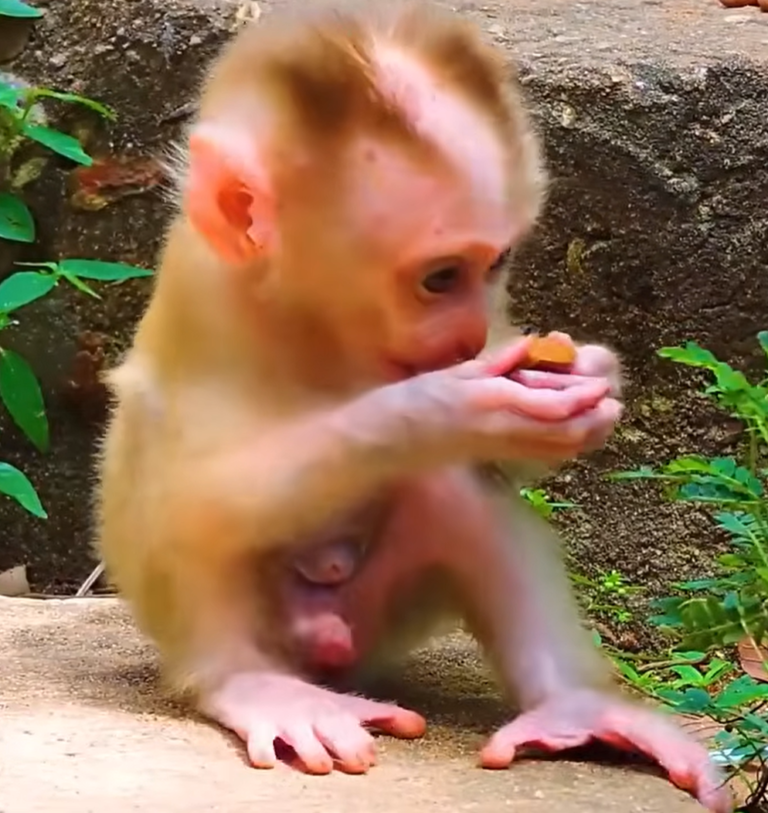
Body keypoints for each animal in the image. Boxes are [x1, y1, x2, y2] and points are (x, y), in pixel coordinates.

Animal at [94, 5, 732, 812]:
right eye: (439, 278)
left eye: (495, 264)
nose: (464, 338)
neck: (315, 319)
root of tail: (328, 647)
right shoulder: (207, 307)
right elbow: (200, 491)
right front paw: (440, 408)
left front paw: (591, 376)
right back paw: (258, 686)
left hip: (383, 618)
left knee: (453, 489)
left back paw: (573, 706)